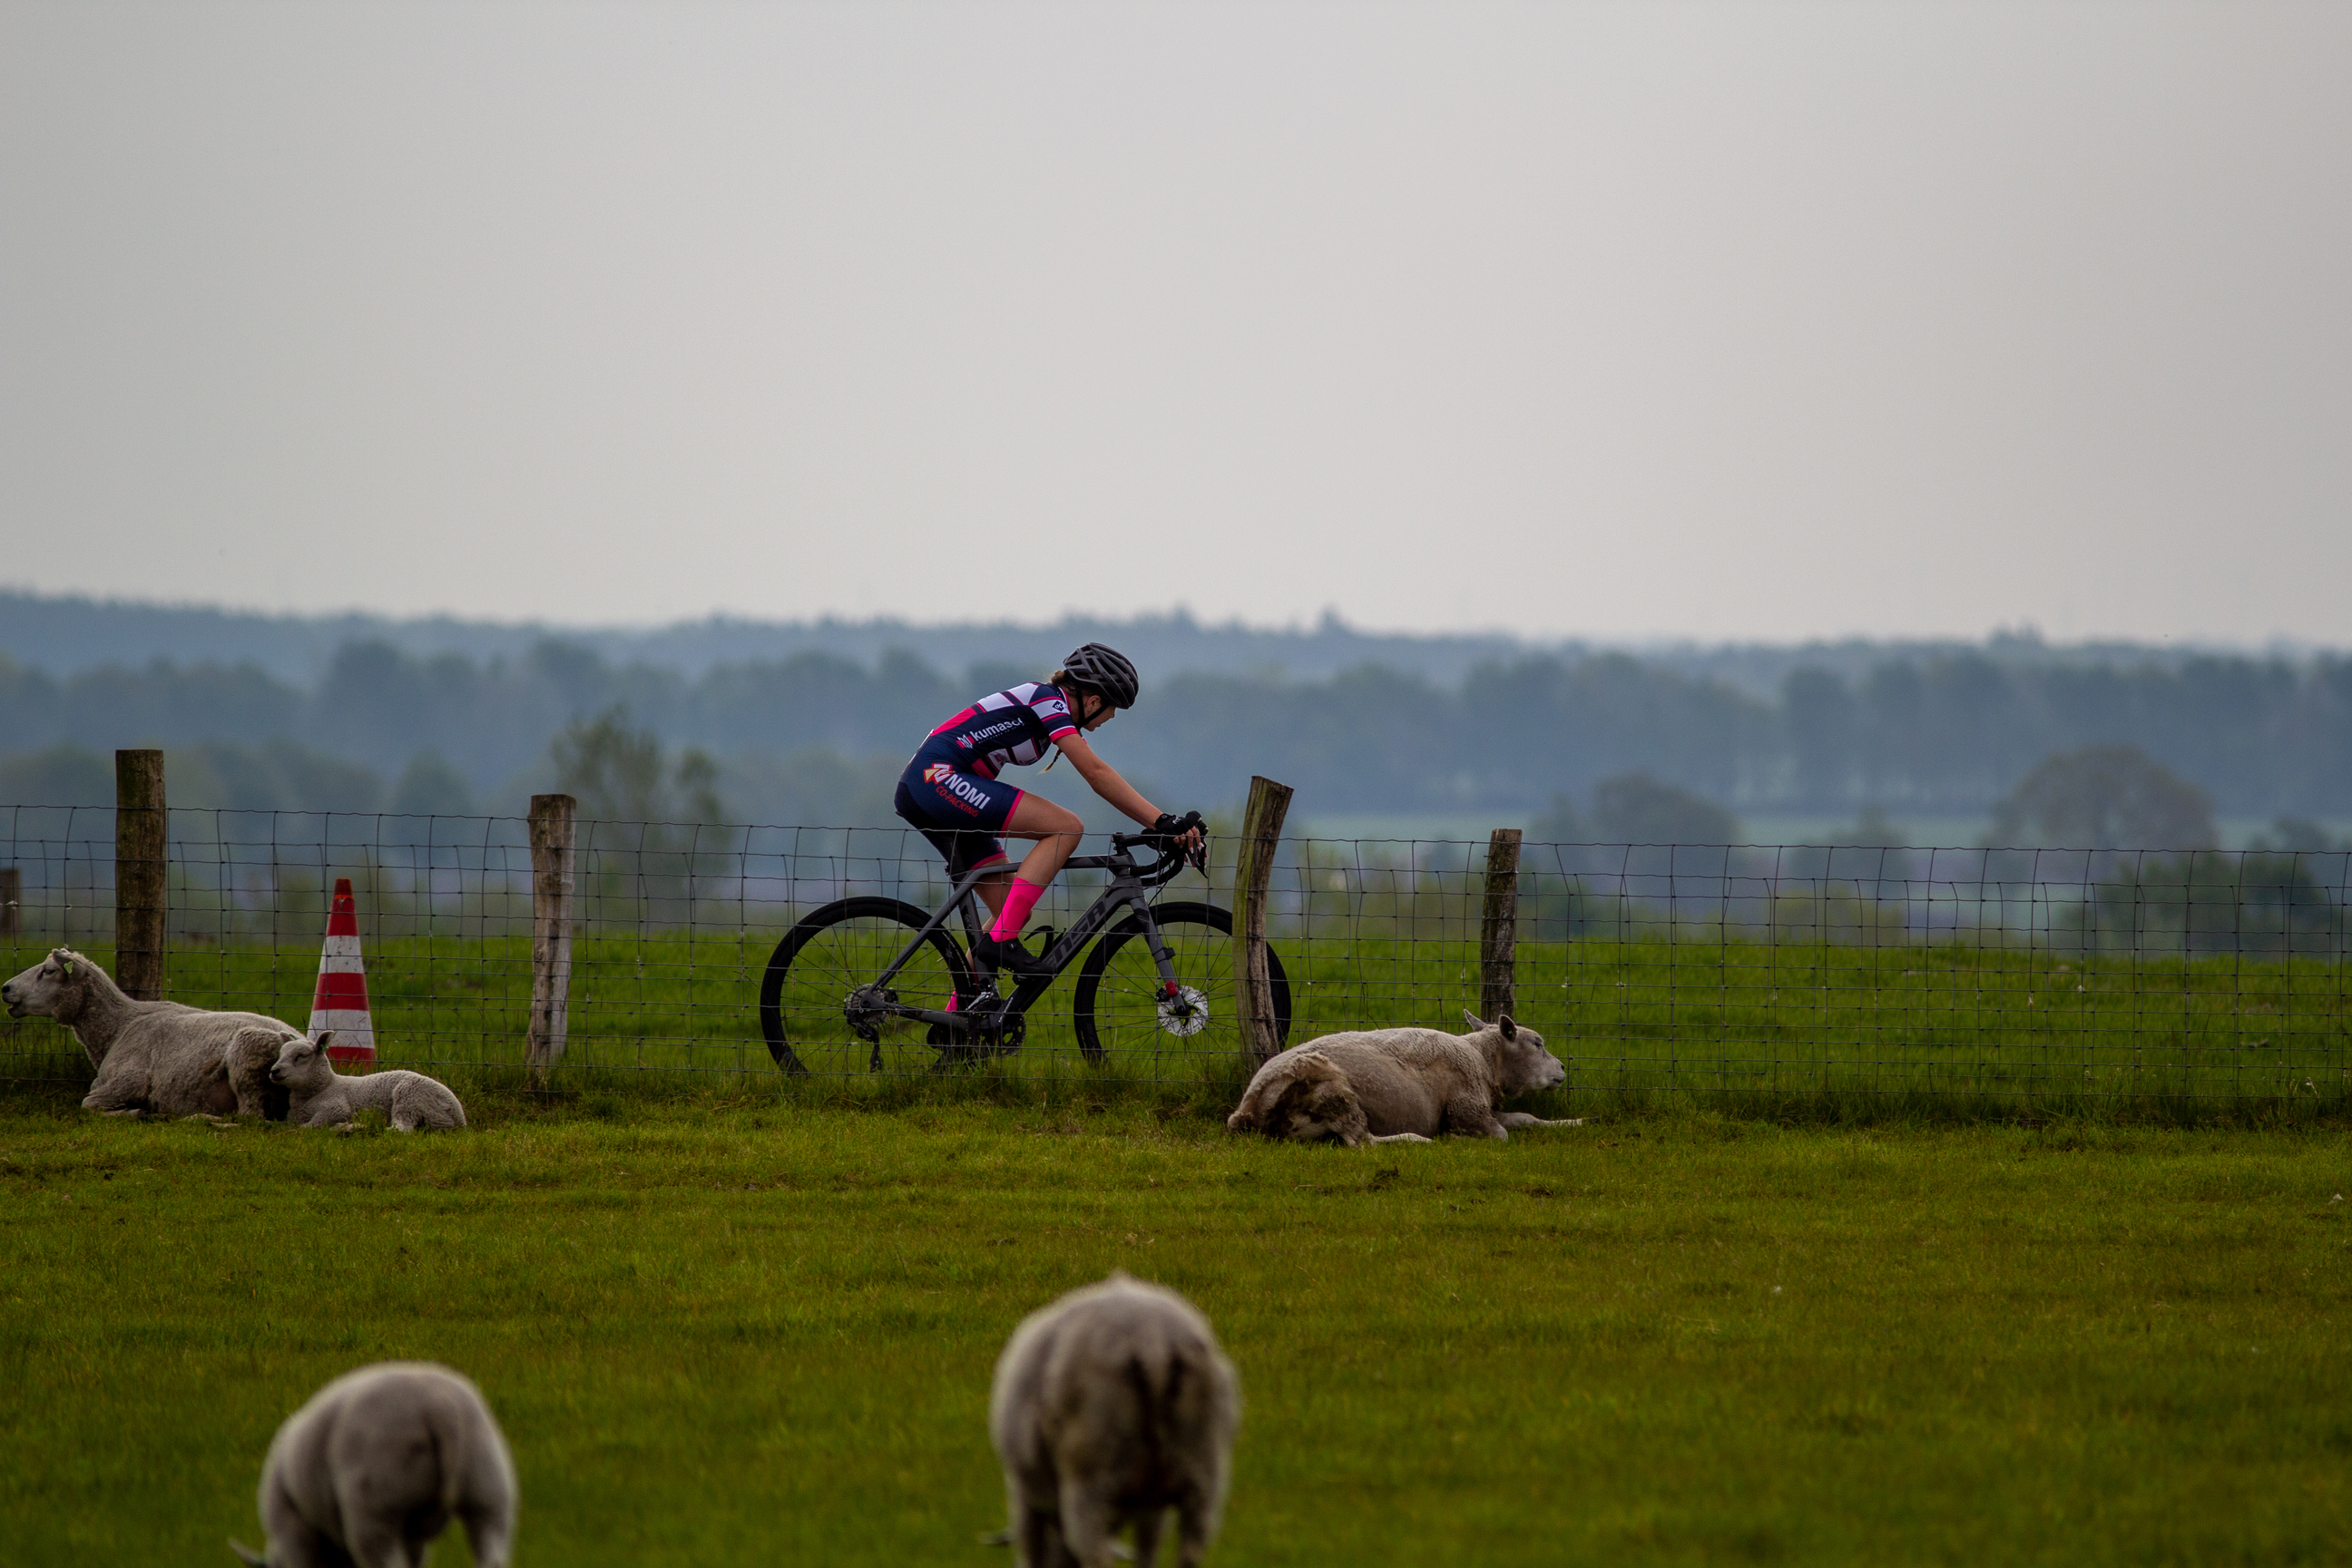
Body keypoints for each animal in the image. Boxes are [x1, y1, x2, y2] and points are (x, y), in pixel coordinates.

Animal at [1, 949, 289, 1123]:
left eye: (49, 971)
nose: (5, 988)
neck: (119, 1027)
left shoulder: (132, 1080)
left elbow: (88, 1103)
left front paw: (138, 1112)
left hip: (246, 1056)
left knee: (250, 1118)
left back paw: (195, 1118)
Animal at [229, 1363, 514, 1568]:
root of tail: (440, 1409)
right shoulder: (413, 1538)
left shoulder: (293, 1528)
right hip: (487, 1485)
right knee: (492, 1553)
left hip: (376, 1500)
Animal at [255, 1029, 466, 1128]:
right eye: (280, 1053)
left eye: (302, 1056)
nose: (274, 1071)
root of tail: (458, 1116)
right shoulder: (294, 1116)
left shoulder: (336, 1107)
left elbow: (308, 1127)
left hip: (408, 1097)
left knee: (401, 1129)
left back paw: (350, 1127)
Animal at [992, 1279, 1250, 1568]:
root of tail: (1151, 1341)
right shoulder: (1152, 1506)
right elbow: (1148, 1549)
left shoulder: (1025, 1495)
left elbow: (1031, 1550)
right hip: (1204, 1467)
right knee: (1190, 1551)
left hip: (1090, 1472)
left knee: (1096, 1553)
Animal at [1232, 1011, 1580, 1147]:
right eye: (1537, 1043)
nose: (1563, 1068)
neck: (1482, 1060)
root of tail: (1247, 1108)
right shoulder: (1468, 1108)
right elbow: (1502, 1135)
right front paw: (1455, 1136)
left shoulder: (1486, 1109)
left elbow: (1527, 1118)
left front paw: (1575, 1122)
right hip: (1333, 1089)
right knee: (1363, 1141)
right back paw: (1419, 1140)